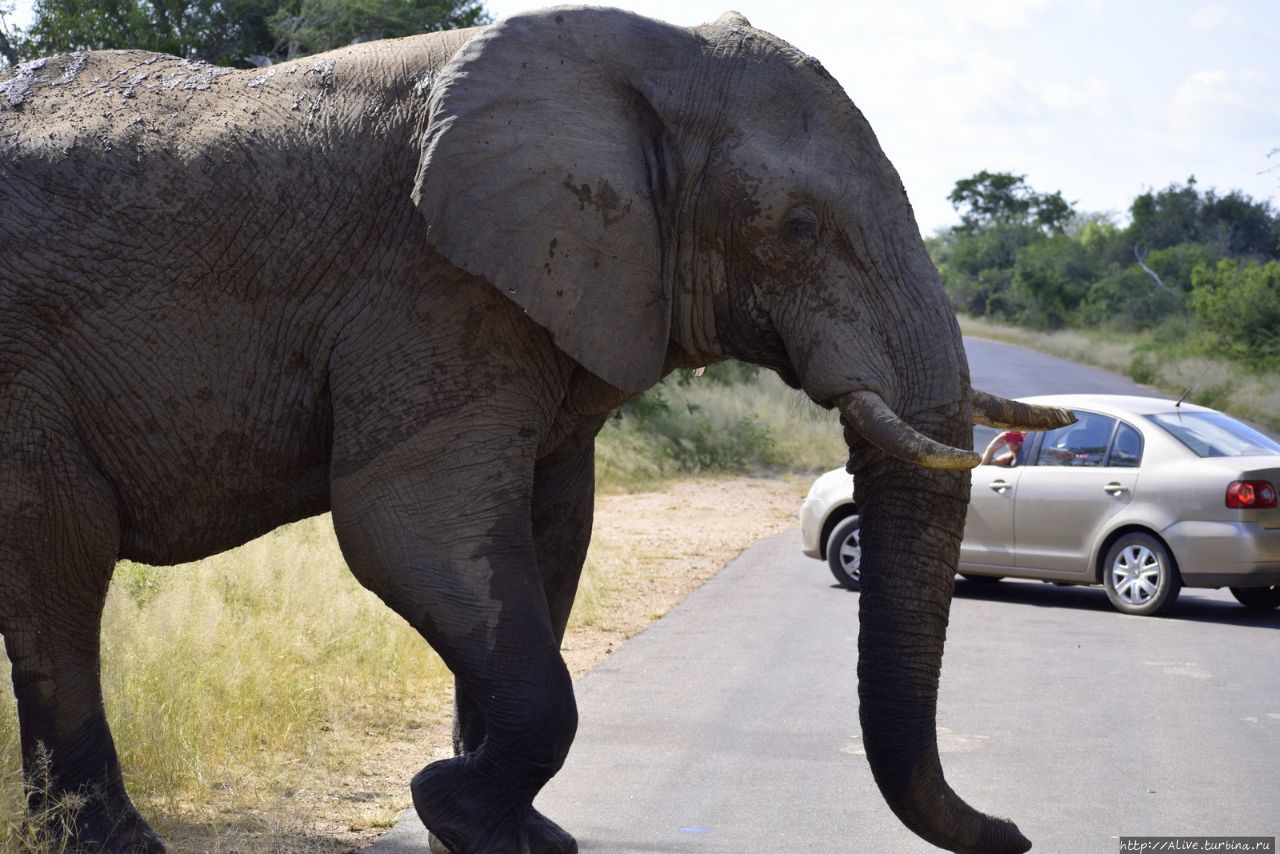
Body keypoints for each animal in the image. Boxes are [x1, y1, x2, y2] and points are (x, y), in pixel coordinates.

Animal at [0, 8, 1070, 854]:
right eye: (798, 228)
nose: (1018, 833)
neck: (647, 54)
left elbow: (548, 539)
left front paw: (511, 835)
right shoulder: (429, 285)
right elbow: (404, 527)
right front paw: (451, 809)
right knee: (60, 558)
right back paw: (118, 846)